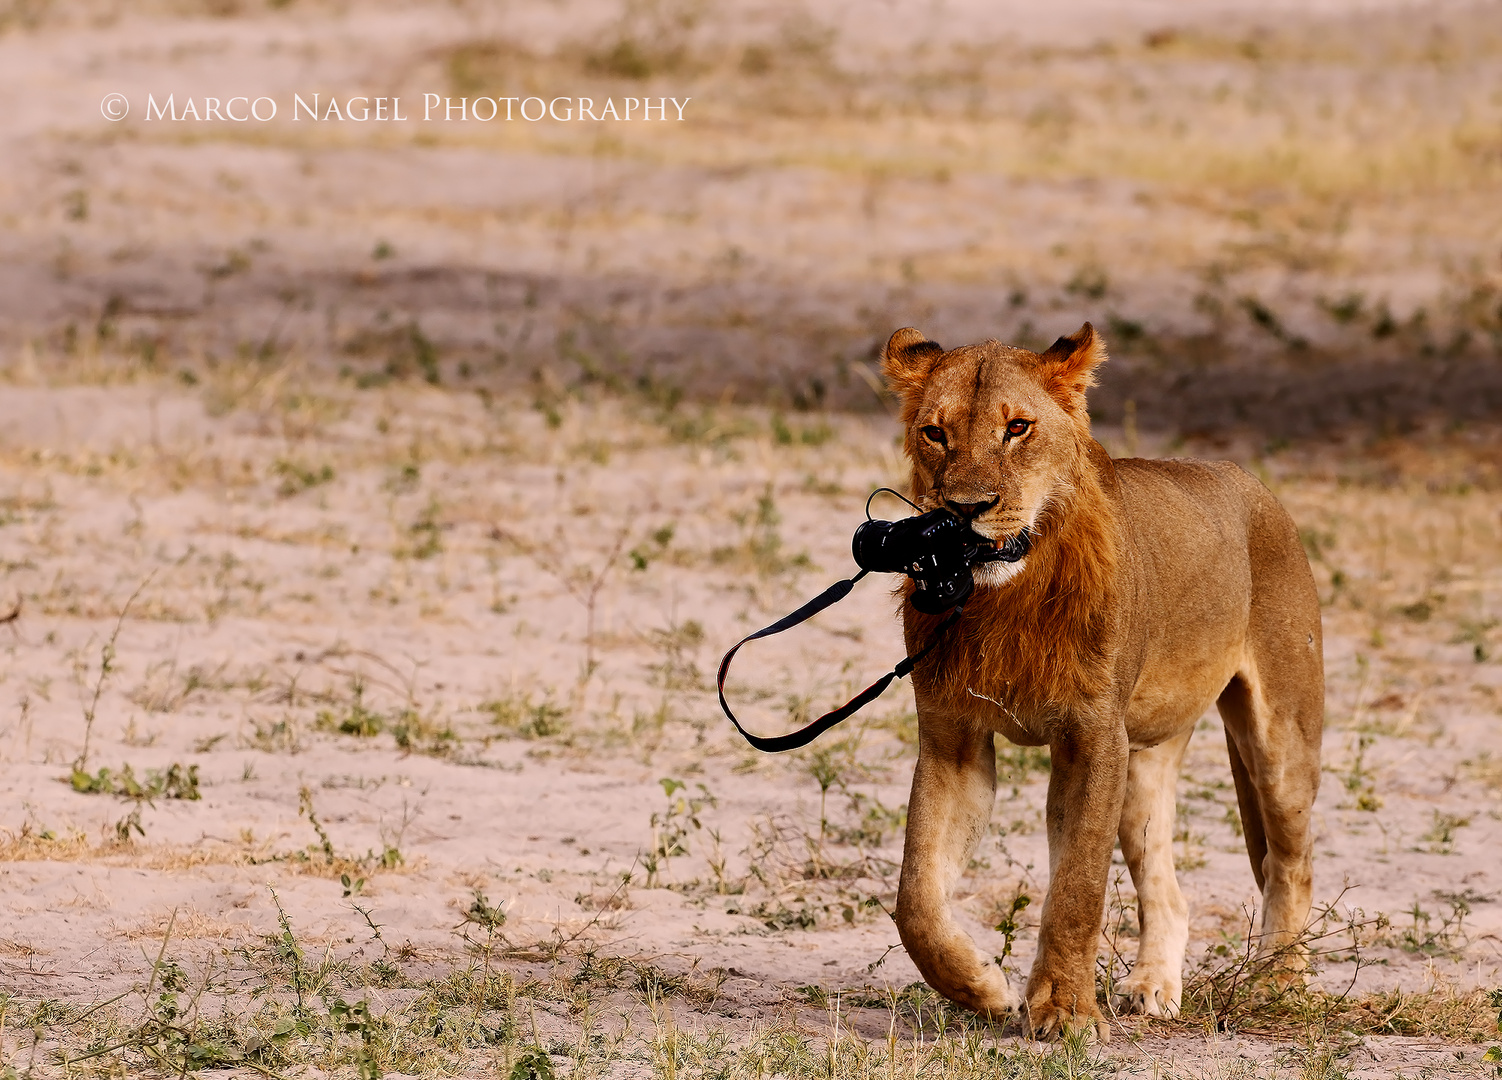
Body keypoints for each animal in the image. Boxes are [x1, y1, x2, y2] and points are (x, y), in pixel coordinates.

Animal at [883, 322, 1321, 1039]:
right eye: (935, 433)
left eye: (1018, 428)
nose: (966, 509)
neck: (1006, 600)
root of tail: (1250, 483)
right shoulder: (952, 738)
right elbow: (916, 896)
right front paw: (983, 988)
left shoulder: (1092, 736)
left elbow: (1078, 886)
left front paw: (1064, 1012)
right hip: (1144, 761)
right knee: (1170, 891)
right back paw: (1152, 988)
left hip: (1281, 740)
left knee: (1290, 861)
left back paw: (1279, 981)